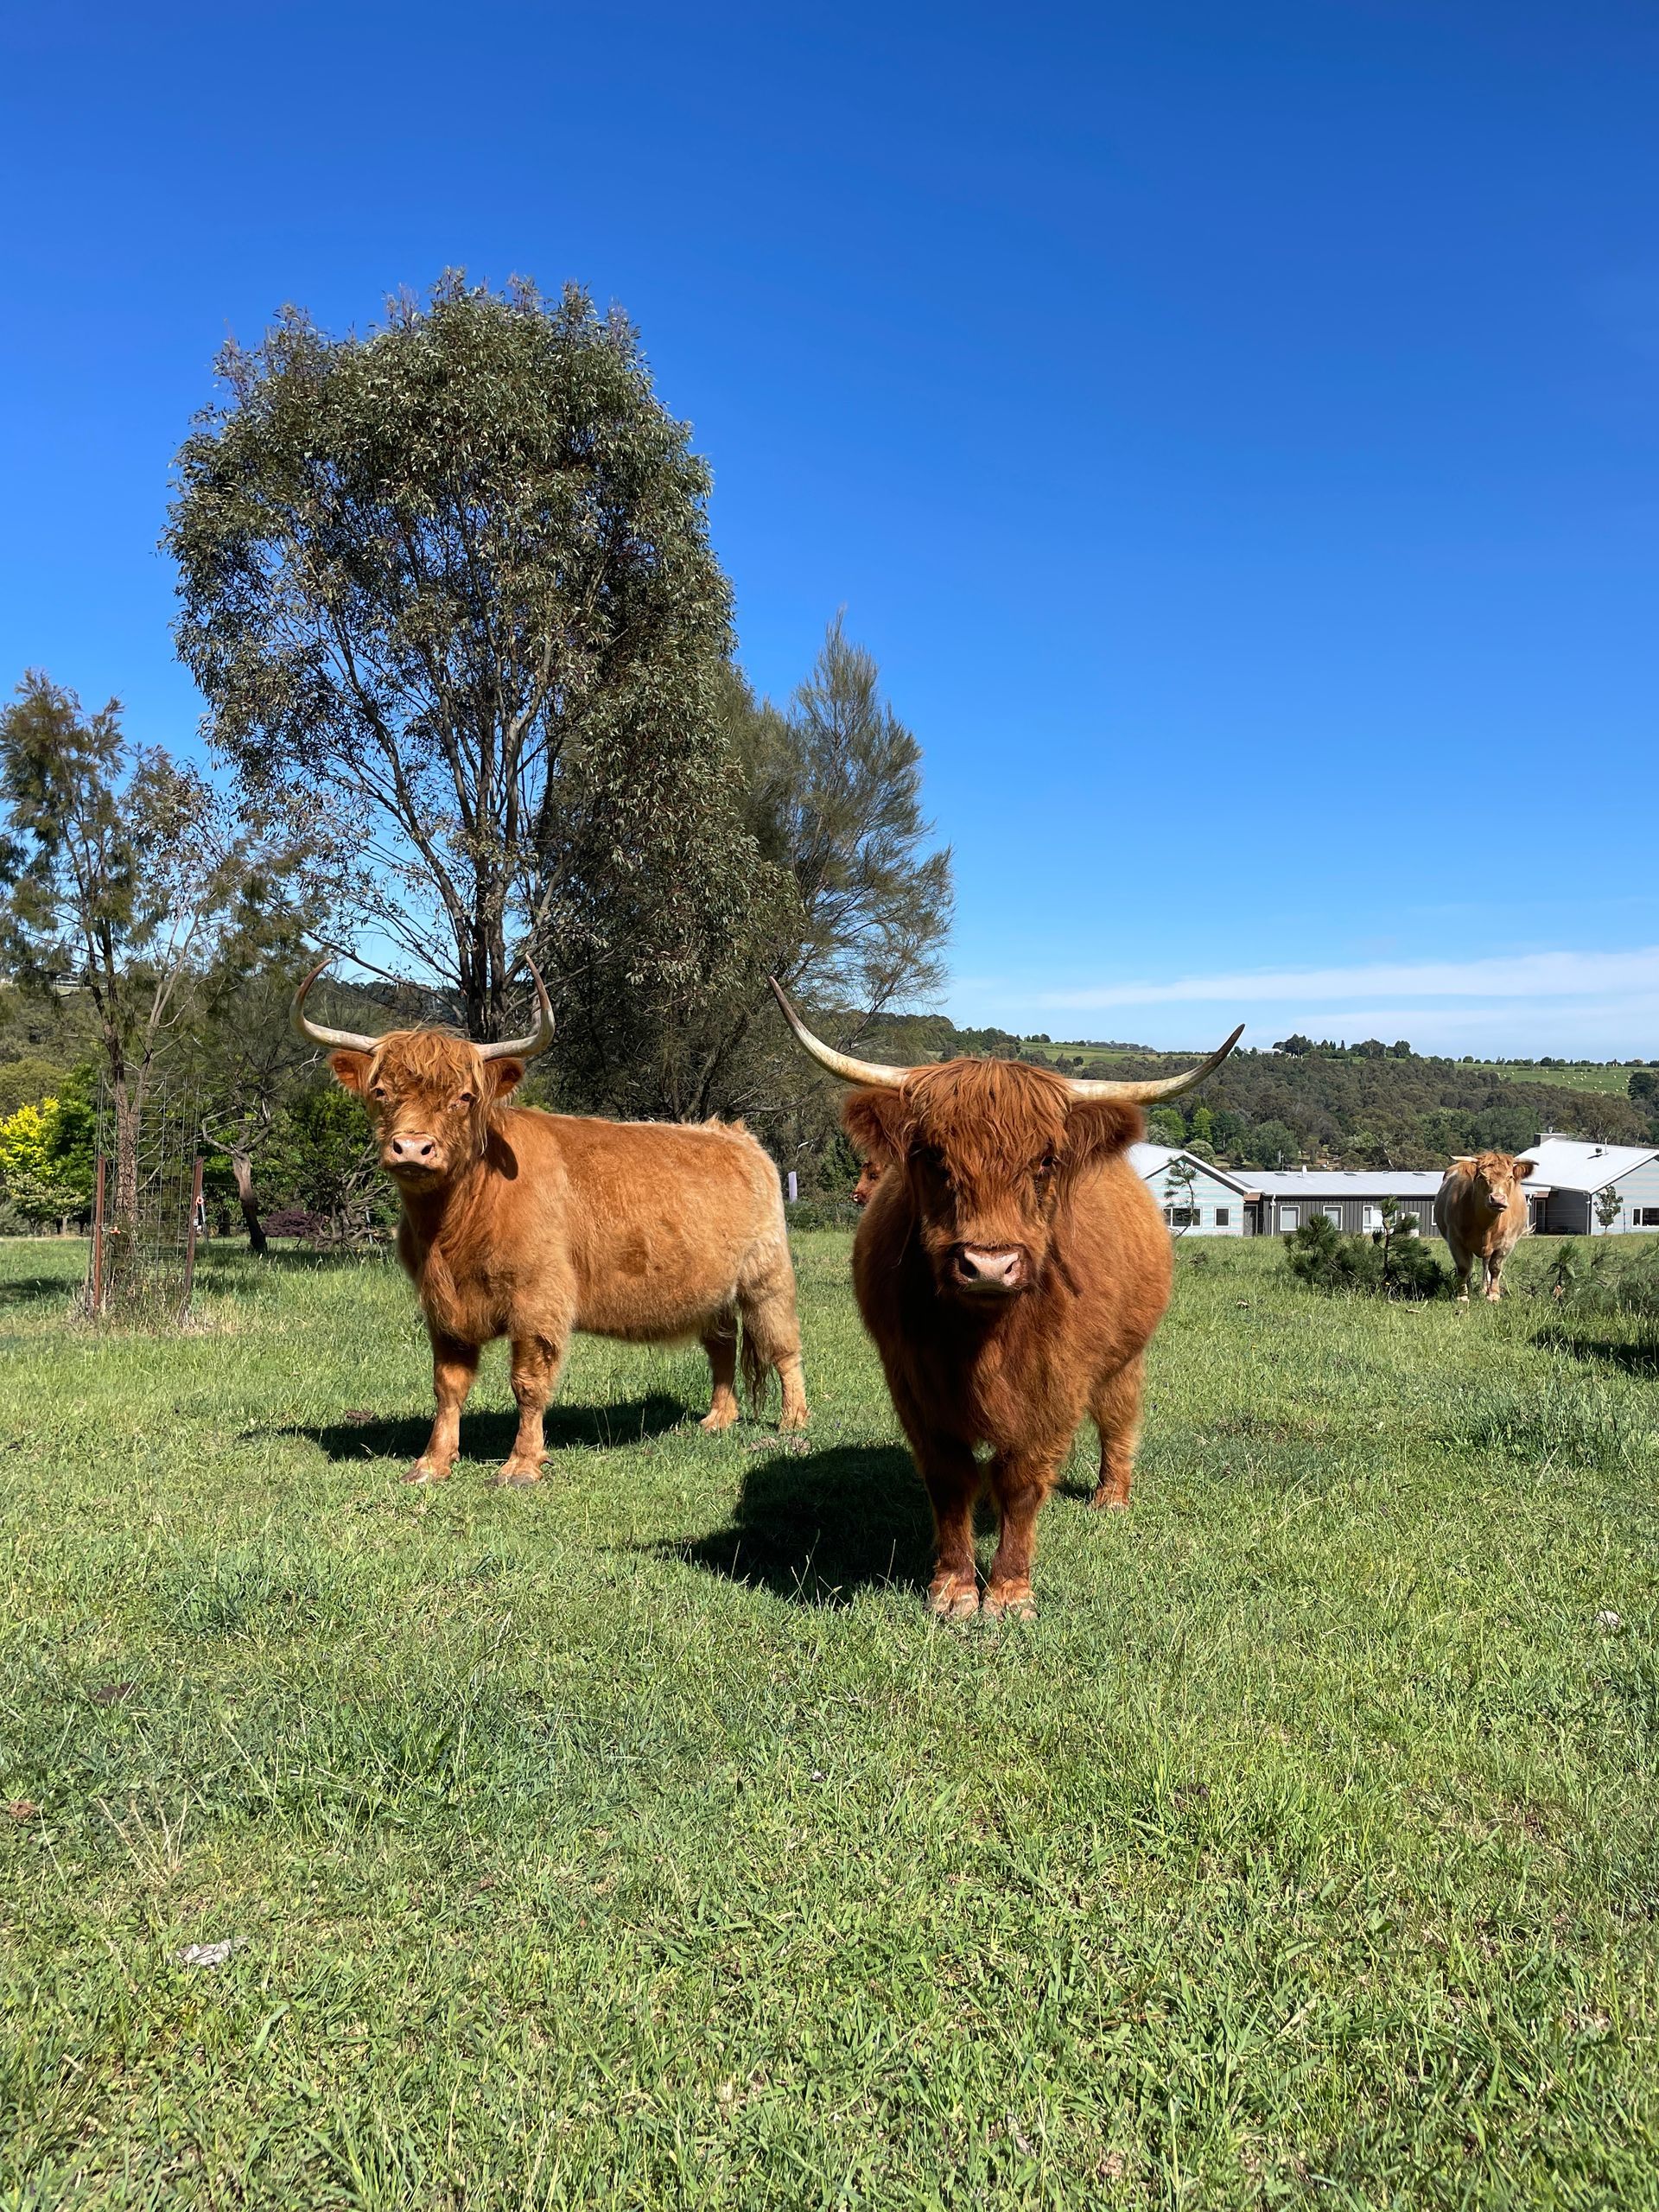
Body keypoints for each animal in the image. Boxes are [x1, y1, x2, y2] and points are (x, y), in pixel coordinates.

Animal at [293, 964, 808, 1484]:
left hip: (767, 1277)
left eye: (465, 1097)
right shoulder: (443, 1307)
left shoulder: (538, 1299)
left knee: (783, 1345)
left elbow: (528, 1382)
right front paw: (433, 1462)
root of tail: (735, 1135)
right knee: (722, 1346)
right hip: (712, 1291)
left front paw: (522, 1464)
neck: (452, 1227)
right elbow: (448, 1385)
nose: (413, 1148)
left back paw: (792, 1423)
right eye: (380, 1092)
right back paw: (717, 1419)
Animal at [772, 983, 1242, 1618]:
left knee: (1118, 1416)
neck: (984, 1337)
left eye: (1045, 1159)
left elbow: (1021, 1481)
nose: (989, 1264)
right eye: (933, 1154)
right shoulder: (913, 1382)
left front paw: (1011, 1593)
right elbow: (950, 1480)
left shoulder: (1056, 1385)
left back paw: (1111, 1496)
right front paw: (953, 1589)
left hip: (1124, 1357)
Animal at [1434, 1150, 1536, 1303]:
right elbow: (1464, 1267)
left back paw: (1484, 1289)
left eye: (1510, 1177)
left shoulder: (1507, 1243)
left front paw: (1493, 1294)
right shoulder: (1455, 1240)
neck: (1486, 1226)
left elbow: (1495, 1268)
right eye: (1481, 1177)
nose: (1497, 1199)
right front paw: (1462, 1295)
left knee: (1486, 1264)